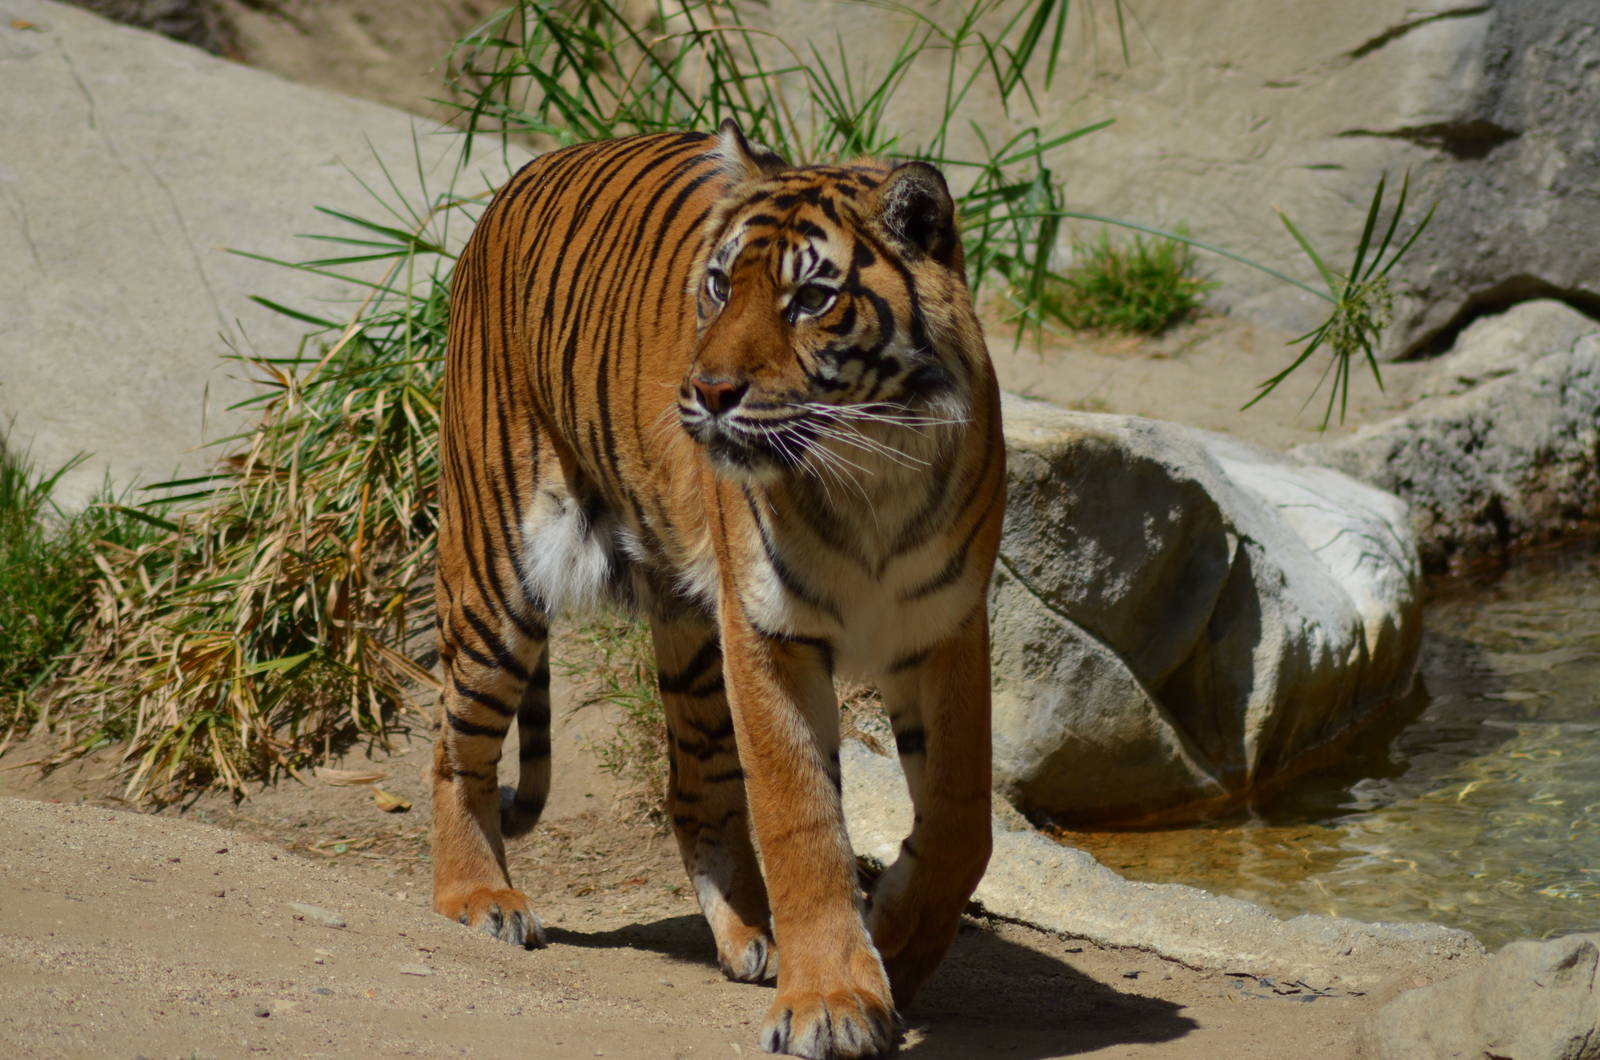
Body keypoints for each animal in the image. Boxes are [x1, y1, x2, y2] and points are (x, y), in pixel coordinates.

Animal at [431, 120, 1006, 1059]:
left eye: (811, 299)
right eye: (717, 285)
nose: (705, 392)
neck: (870, 478)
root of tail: (525, 173)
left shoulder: (946, 628)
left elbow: (961, 817)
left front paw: (895, 942)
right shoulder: (770, 633)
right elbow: (800, 818)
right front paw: (832, 1002)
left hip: (694, 632)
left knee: (695, 786)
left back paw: (751, 935)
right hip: (498, 567)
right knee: (454, 745)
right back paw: (479, 900)